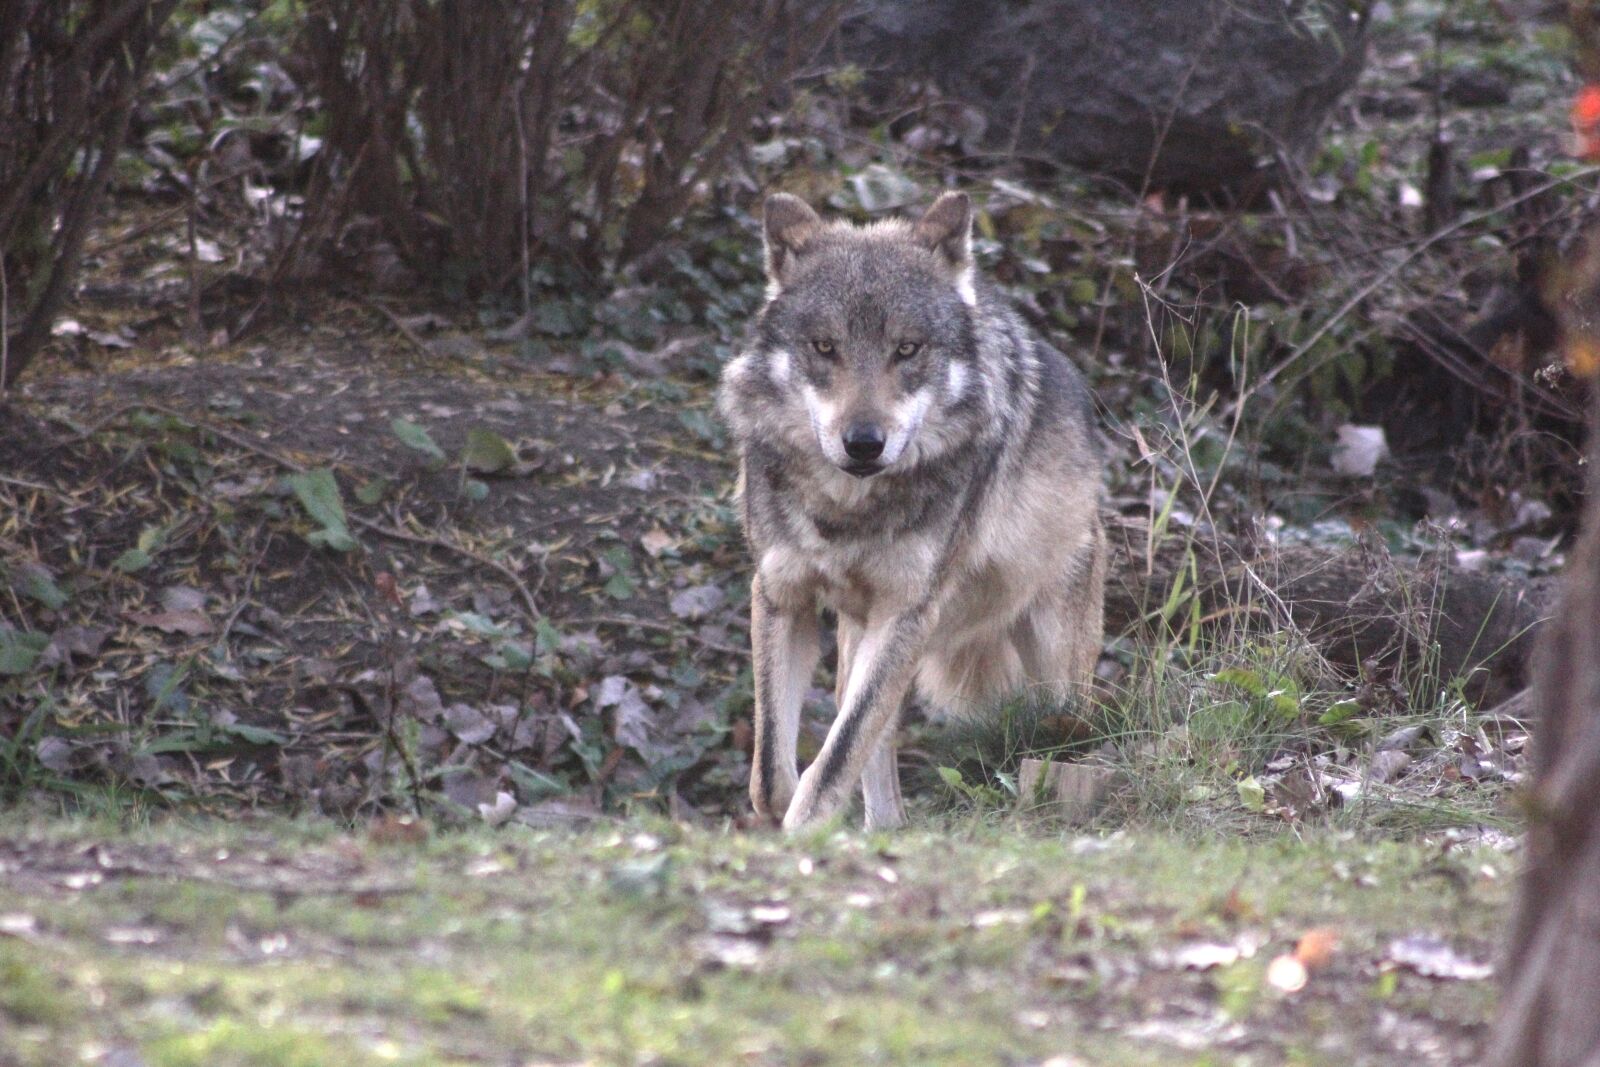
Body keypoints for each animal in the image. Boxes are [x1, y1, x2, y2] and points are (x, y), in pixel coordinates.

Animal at [717, 190, 1106, 831]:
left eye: (907, 349)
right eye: (825, 347)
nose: (863, 443)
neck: (847, 510)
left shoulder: (906, 613)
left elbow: (836, 755)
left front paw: (804, 829)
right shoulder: (780, 593)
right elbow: (773, 772)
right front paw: (785, 820)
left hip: (1053, 672)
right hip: (861, 639)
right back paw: (882, 830)